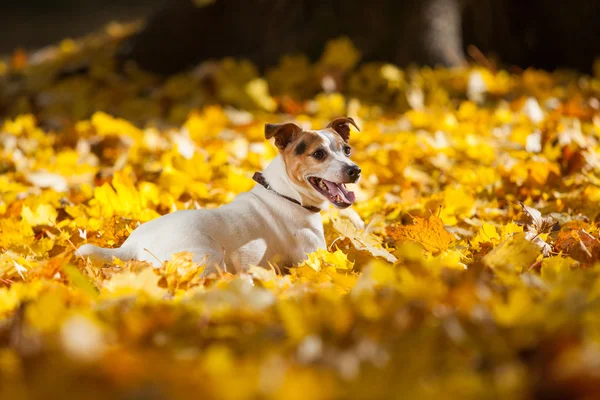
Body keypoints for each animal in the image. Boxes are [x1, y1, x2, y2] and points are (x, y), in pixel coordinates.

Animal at [79, 116, 360, 276]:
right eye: (318, 154)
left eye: (347, 149)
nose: (355, 170)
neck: (285, 193)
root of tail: (131, 247)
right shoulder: (313, 257)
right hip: (209, 256)